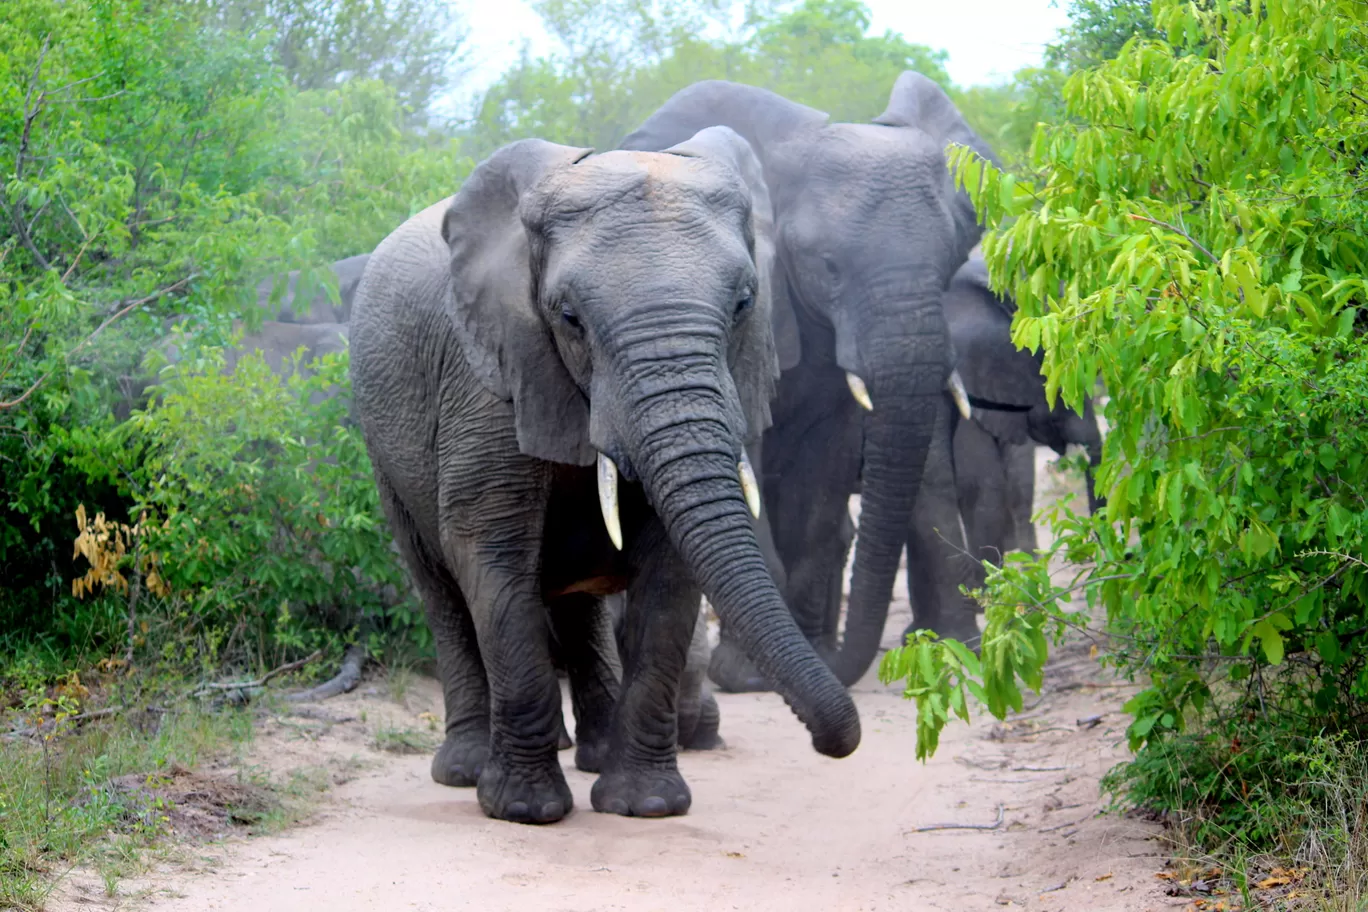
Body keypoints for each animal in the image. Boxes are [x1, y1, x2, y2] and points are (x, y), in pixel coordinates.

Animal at [344, 123, 853, 825]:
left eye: (745, 304)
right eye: (569, 319)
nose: (840, 744)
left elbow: (669, 579)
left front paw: (646, 806)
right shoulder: (491, 379)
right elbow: (491, 555)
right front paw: (523, 811)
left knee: (577, 604)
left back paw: (592, 757)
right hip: (382, 441)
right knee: (440, 588)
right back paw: (465, 771)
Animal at [626, 73, 1001, 691]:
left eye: (952, 257)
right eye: (828, 265)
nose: (845, 671)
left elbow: (820, 483)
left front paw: (810, 661)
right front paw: (748, 678)